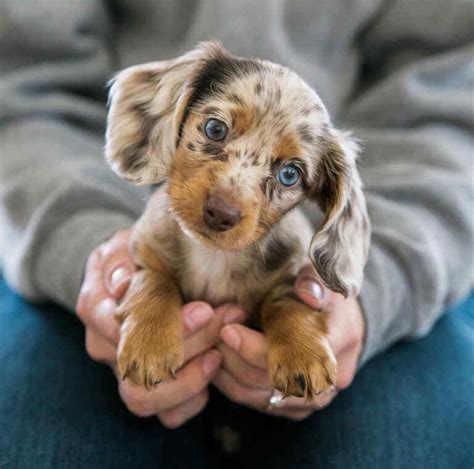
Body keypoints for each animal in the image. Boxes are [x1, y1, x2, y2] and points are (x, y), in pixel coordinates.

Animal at [105, 42, 372, 398]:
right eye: (215, 129)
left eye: (290, 174)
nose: (221, 213)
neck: (214, 256)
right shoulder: (146, 253)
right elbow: (152, 280)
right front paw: (149, 343)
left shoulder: (289, 277)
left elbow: (287, 302)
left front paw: (303, 353)